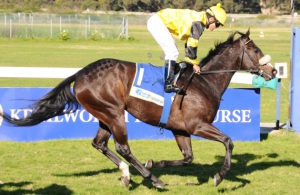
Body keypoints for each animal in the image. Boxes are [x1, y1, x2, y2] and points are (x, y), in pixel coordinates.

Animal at [0, 29, 276, 188]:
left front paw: (156, 162)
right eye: (255, 49)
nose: (273, 71)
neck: (203, 82)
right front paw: (220, 176)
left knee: (99, 143)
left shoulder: (180, 129)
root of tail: (80, 73)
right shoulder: (197, 125)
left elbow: (188, 157)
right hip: (114, 113)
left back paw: (127, 174)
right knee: (122, 147)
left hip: (104, 114)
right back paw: (153, 179)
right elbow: (228, 141)